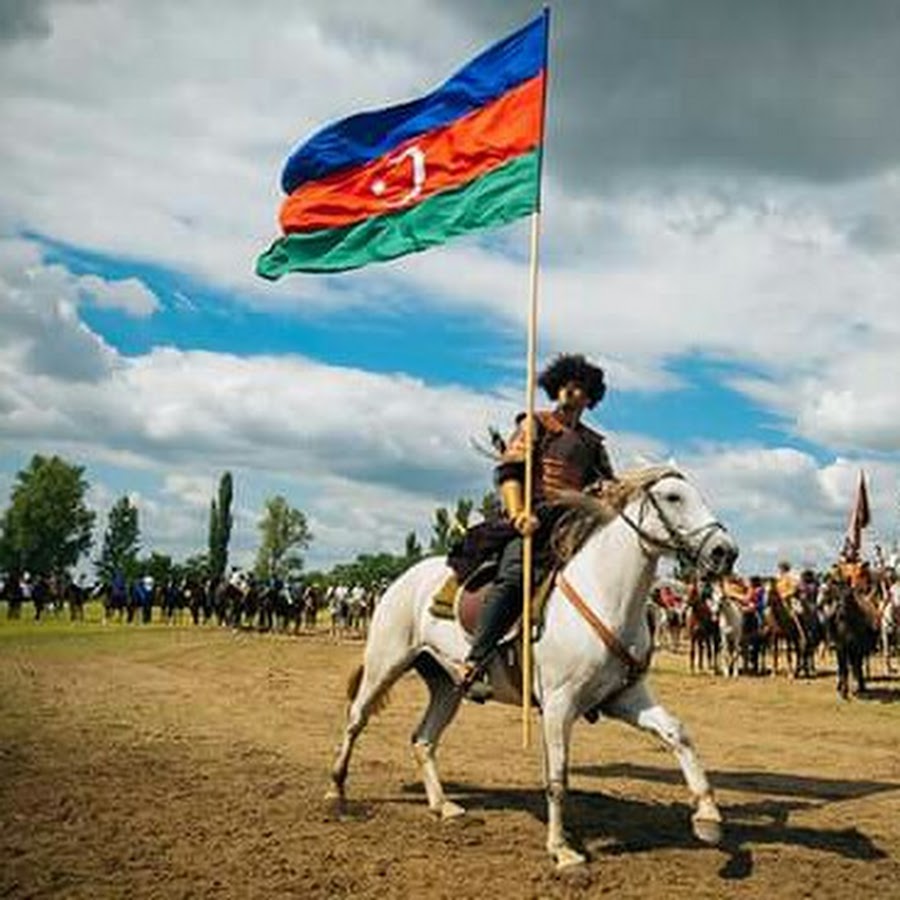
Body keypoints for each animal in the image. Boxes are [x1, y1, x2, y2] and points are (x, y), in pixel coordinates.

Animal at [326, 468, 736, 868]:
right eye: (673, 497)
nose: (725, 552)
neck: (606, 595)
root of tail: (401, 580)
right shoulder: (558, 706)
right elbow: (557, 777)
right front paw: (561, 849)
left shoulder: (624, 697)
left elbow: (677, 734)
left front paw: (708, 816)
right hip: (386, 662)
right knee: (355, 719)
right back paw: (336, 792)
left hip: (447, 684)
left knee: (423, 739)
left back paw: (442, 806)